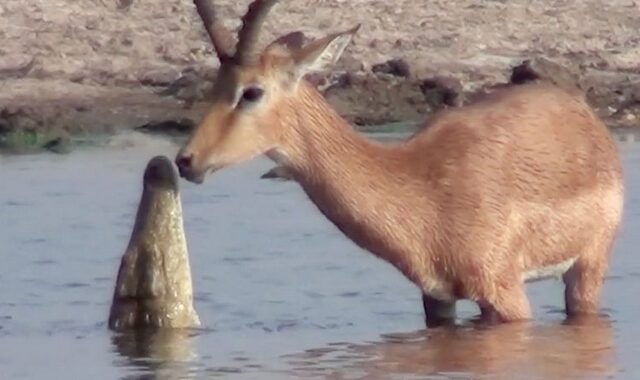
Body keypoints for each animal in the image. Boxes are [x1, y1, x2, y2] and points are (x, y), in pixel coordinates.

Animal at [175, 0, 624, 326]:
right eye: (215, 86)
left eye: (252, 92)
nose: (186, 161)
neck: (417, 184)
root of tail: (583, 114)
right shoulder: (435, 297)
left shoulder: (504, 292)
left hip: (588, 266)